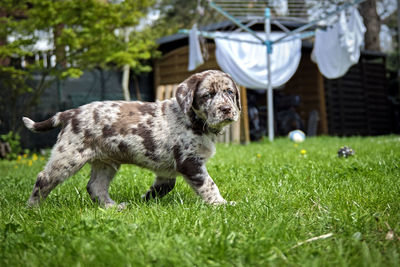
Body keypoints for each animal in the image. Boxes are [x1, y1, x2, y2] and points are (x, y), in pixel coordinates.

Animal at [24, 70, 241, 208]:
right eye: (208, 95)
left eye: (229, 92)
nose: (226, 110)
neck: (193, 120)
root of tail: (69, 113)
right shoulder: (190, 161)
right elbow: (208, 184)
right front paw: (221, 204)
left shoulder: (167, 170)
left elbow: (164, 187)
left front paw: (145, 199)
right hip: (69, 156)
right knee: (44, 179)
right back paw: (32, 209)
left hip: (106, 163)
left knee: (95, 187)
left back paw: (112, 207)